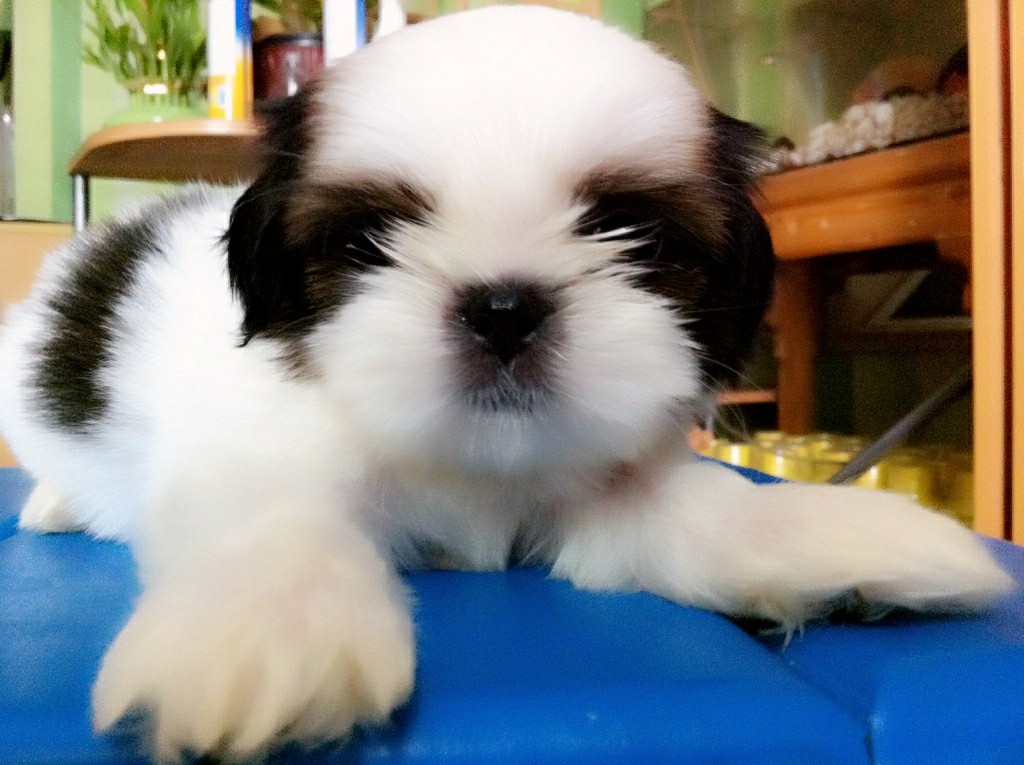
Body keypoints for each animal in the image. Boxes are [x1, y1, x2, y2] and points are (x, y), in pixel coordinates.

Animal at [0, 6, 1011, 760]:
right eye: (368, 241)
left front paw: (823, 532)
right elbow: (271, 518)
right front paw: (268, 628)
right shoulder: (247, 452)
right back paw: (56, 502)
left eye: (632, 236)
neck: (475, 463)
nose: (503, 309)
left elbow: (691, 510)